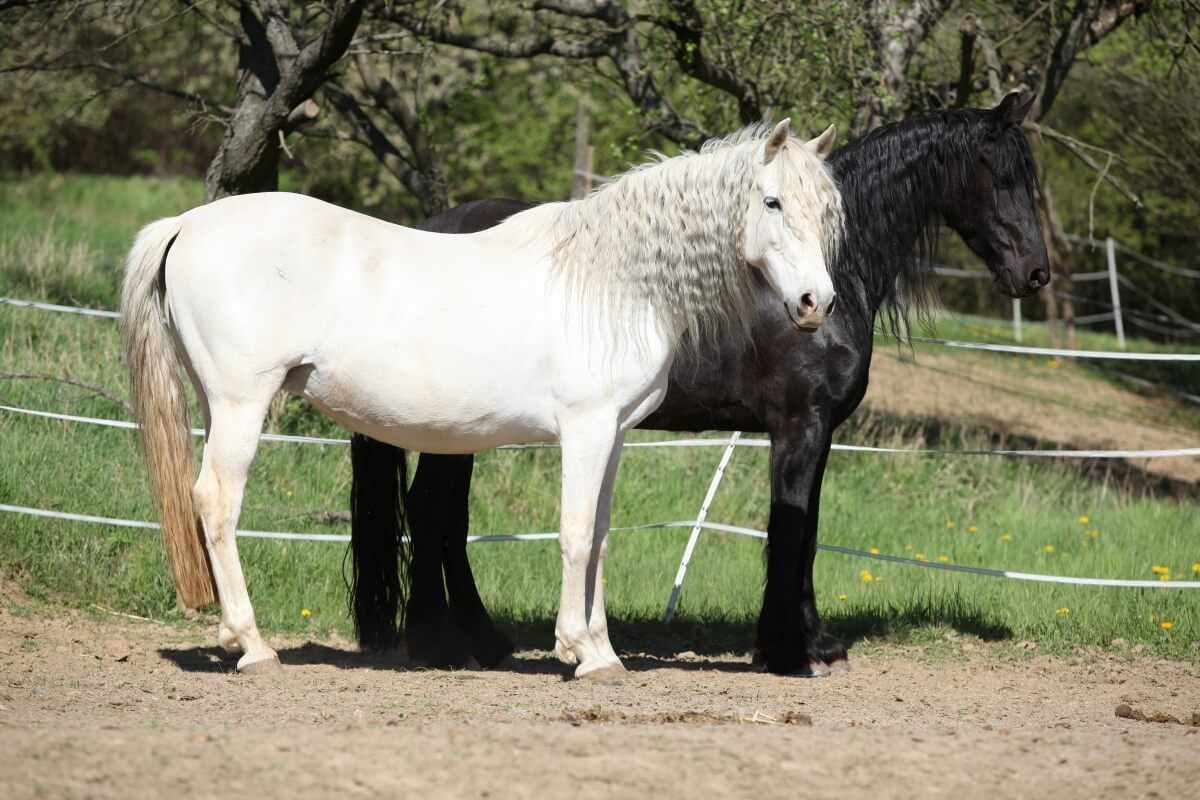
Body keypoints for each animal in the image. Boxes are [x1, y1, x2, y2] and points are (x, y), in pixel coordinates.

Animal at [122, 119, 846, 678]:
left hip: (217, 402)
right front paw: (579, 651)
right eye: (774, 202)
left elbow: (600, 537)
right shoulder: (585, 429)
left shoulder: (613, 434)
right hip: (242, 404)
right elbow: (575, 533)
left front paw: (604, 650)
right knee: (216, 502)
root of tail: (187, 224)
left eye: (826, 211)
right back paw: (253, 646)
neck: (611, 280)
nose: (817, 303)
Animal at [350, 92, 1050, 675]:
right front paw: (792, 652)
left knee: (442, 516)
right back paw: (443, 644)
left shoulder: (814, 431)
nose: (1036, 273)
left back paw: (477, 641)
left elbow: (807, 529)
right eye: (1004, 179)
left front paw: (810, 643)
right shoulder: (800, 425)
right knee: (431, 510)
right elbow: (792, 531)